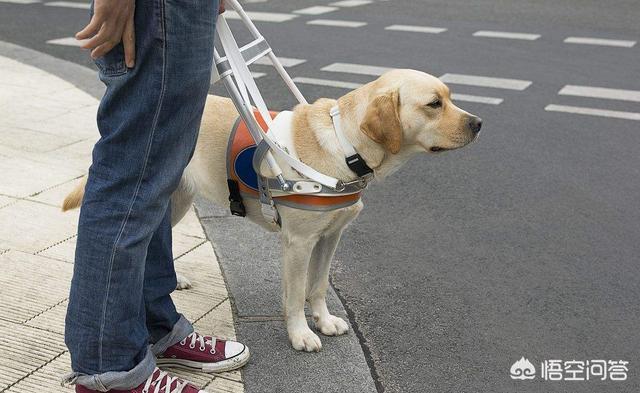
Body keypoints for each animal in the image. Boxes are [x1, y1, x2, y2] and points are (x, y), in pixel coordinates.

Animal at [66, 69, 484, 350]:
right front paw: (300, 334)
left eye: (450, 97)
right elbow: (296, 294)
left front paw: (324, 321)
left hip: (177, 200)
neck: (346, 146)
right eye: (434, 104)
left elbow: (318, 286)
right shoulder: (298, 242)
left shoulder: (330, 237)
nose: (479, 123)